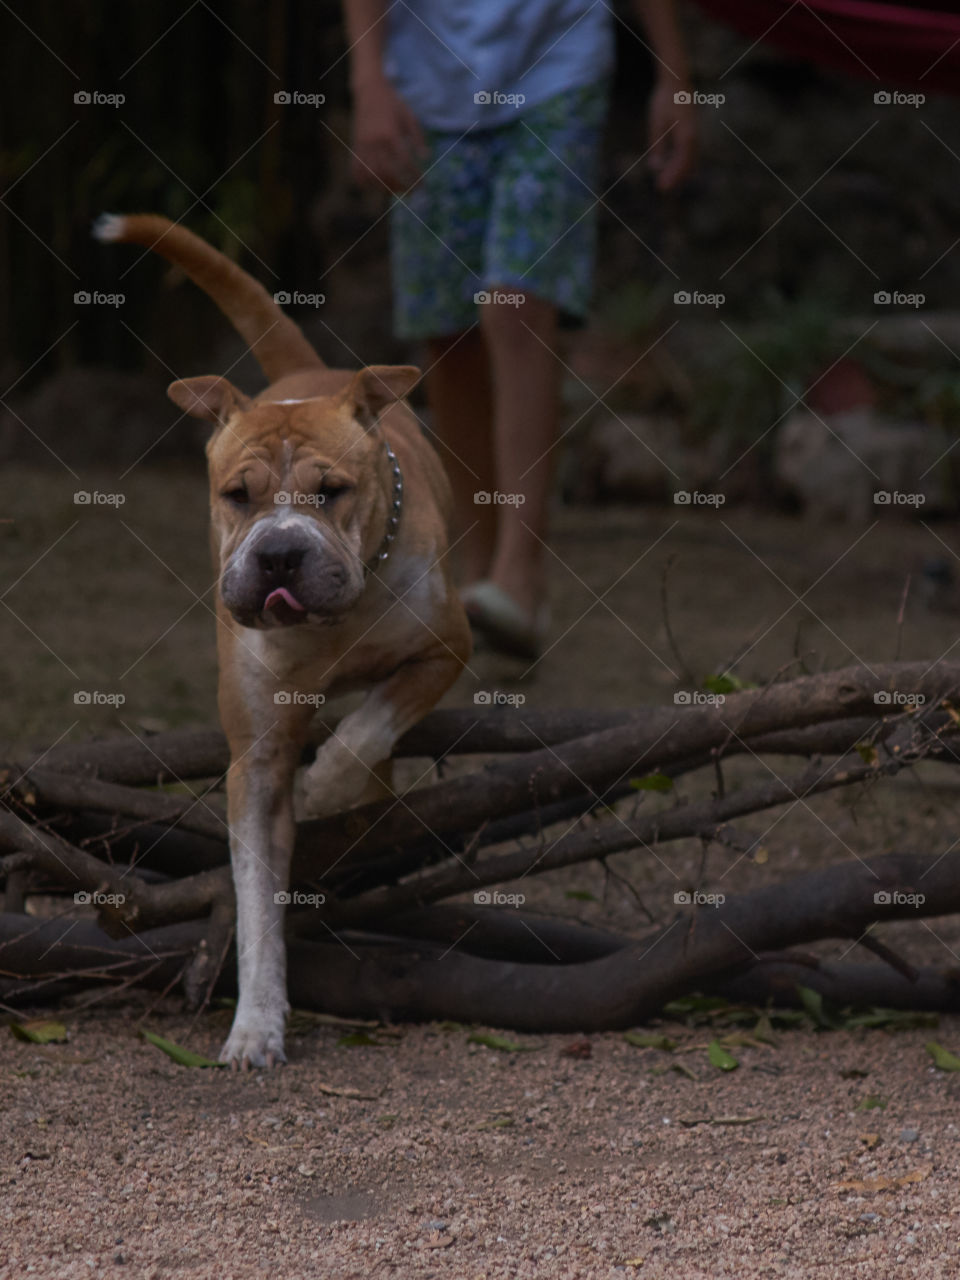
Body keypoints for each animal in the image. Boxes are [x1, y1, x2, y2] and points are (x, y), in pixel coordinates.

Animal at [96, 215, 471, 1064]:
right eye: (237, 495)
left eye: (332, 492)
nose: (278, 554)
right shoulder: (256, 761)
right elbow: (257, 902)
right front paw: (256, 1025)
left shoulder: (444, 649)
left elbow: (369, 728)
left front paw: (328, 783)